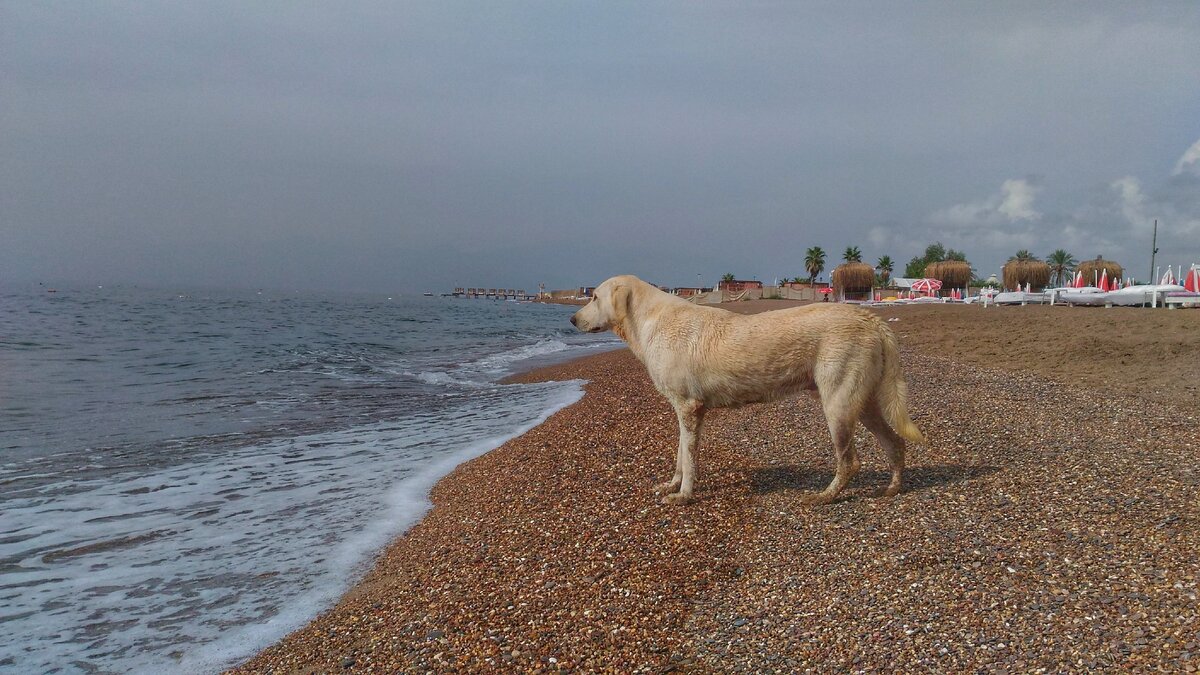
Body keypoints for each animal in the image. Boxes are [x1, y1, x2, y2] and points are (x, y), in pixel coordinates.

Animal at [566, 275, 921, 504]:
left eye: (594, 297)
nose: (570, 320)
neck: (648, 322)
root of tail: (872, 319)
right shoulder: (686, 410)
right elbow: (680, 454)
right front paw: (673, 485)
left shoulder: (689, 408)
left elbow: (689, 459)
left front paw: (684, 496)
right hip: (863, 401)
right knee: (895, 443)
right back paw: (892, 488)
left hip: (838, 403)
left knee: (850, 461)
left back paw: (824, 496)